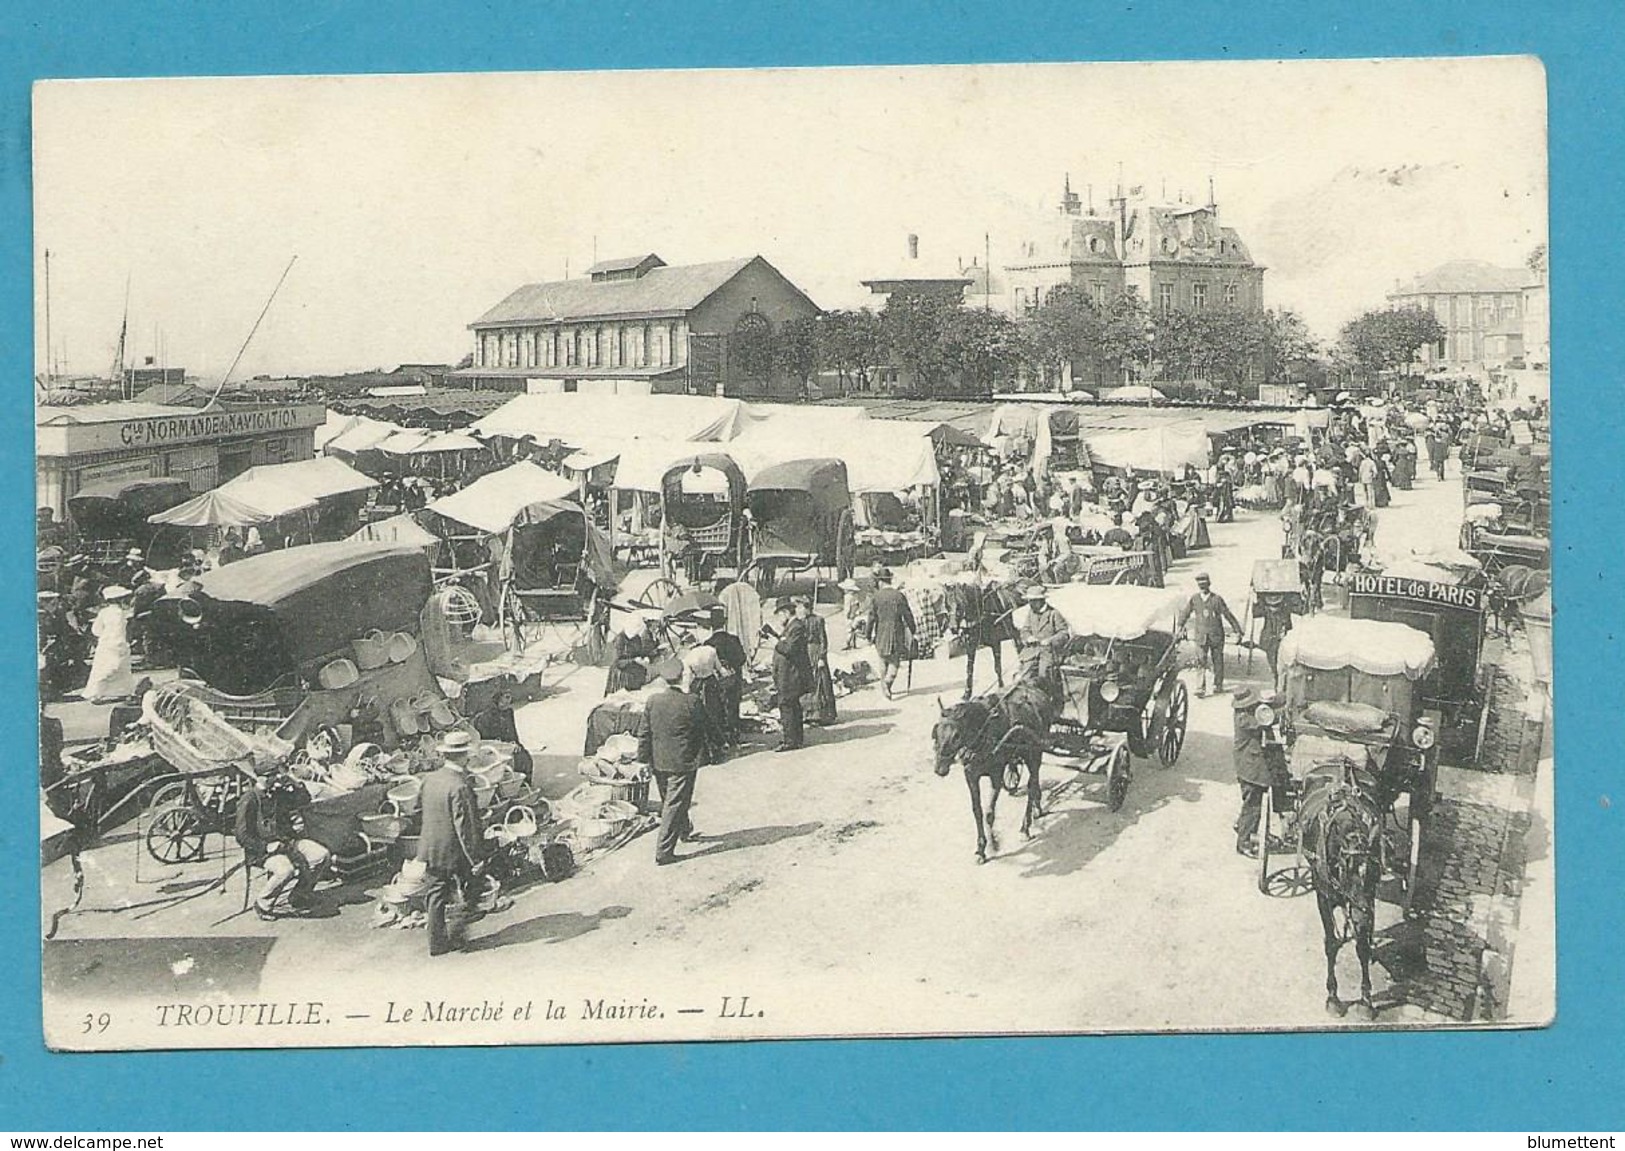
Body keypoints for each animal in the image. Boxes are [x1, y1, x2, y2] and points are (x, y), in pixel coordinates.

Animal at [936, 673, 1059, 864]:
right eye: (936, 732)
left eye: (956, 736)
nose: (939, 768)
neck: (984, 732)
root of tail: (1032, 684)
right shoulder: (970, 774)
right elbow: (977, 811)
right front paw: (980, 848)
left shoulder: (996, 773)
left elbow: (989, 812)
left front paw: (993, 844)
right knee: (1033, 781)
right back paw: (1037, 808)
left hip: (1035, 751)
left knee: (1032, 784)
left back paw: (1026, 826)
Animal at [1293, 764, 1384, 1014]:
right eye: (1346, 869)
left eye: (1375, 871)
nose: (1365, 914)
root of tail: (1339, 762)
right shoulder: (1323, 897)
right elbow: (1331, 944)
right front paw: (1333, 996)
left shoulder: (1365, 900)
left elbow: (1362, 945)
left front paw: (1365, 999)